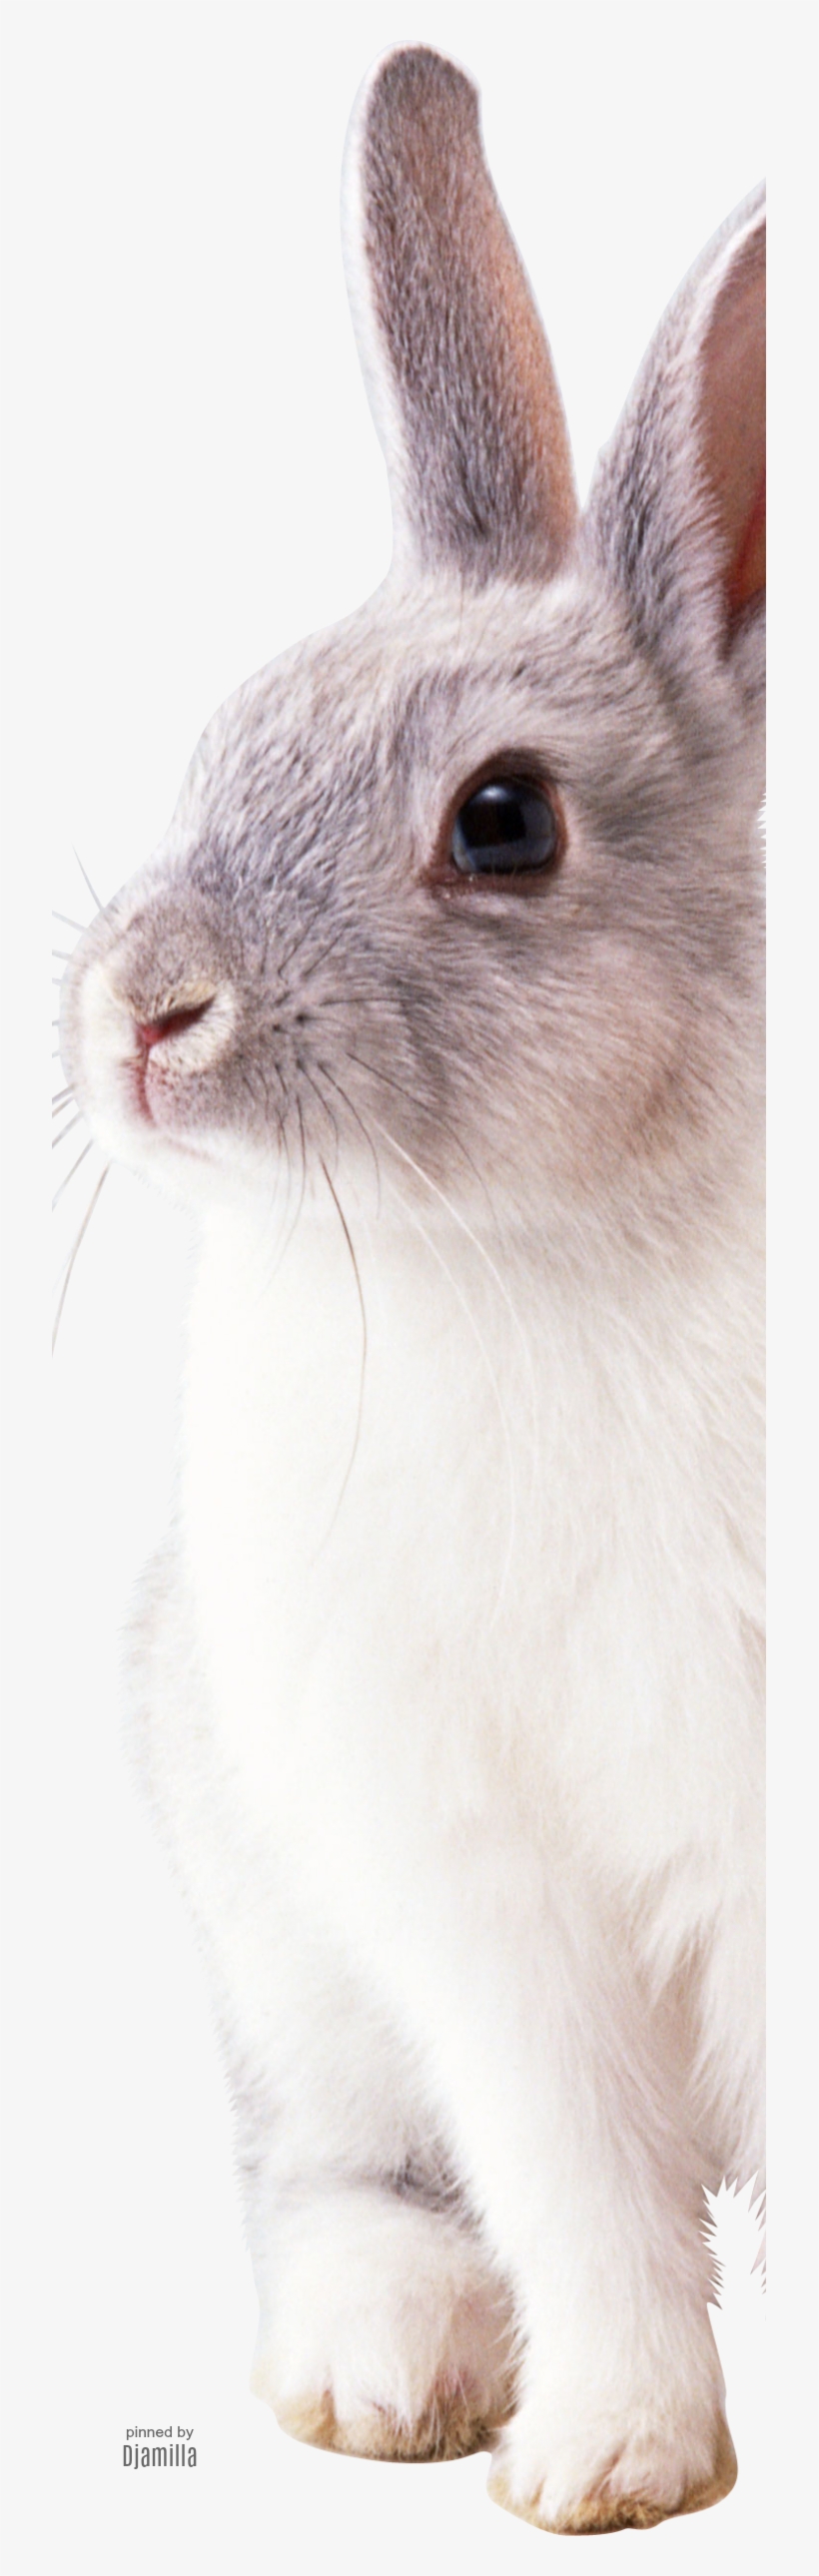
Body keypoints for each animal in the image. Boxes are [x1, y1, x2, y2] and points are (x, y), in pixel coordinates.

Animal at [60, 43, 764, 2538]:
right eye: (227, 734)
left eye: (502, 822)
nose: (138, 1012)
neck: (521, 1249)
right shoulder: (474, 1896)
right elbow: (573, 2180)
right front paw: (606, 2465)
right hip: (286, 1942)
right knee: (339, 2173)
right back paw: (380, 2375)